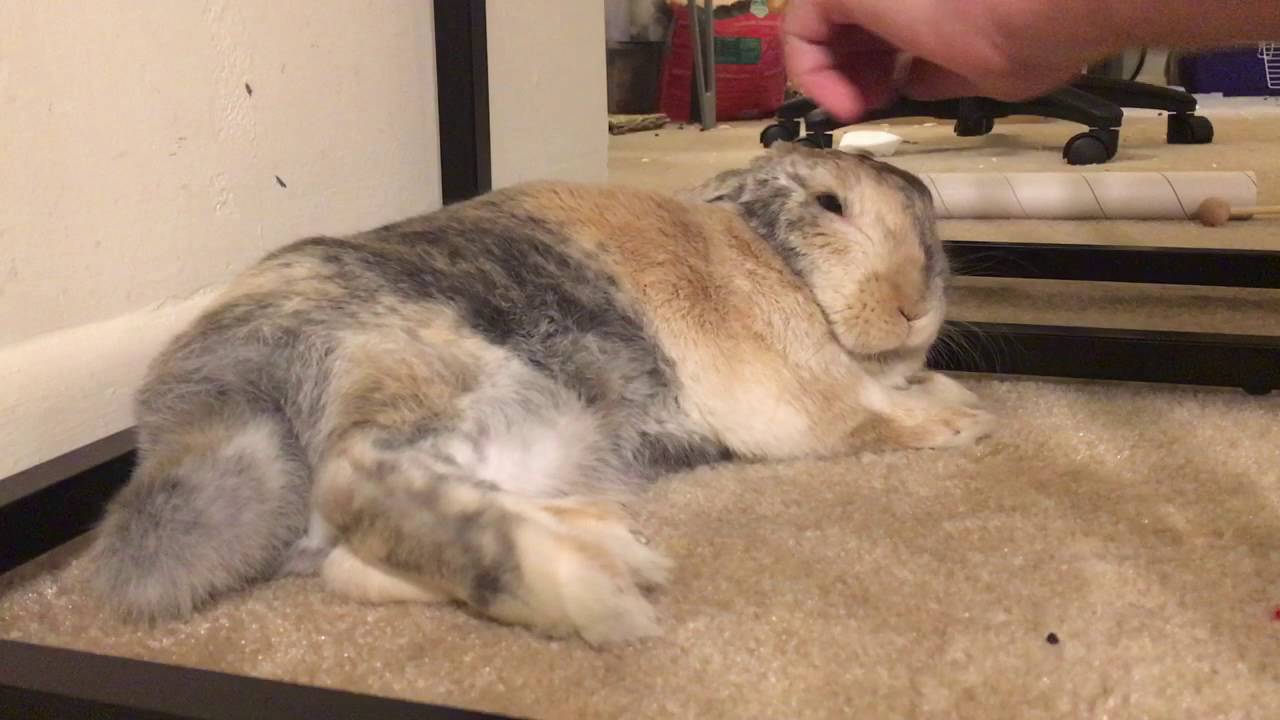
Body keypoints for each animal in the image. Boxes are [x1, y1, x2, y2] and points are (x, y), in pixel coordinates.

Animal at [86, 143, 991, 647]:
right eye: (829, 205)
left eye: (929, 214)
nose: (918, 303)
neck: (765, 252)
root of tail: (204, 400)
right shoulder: (796, 386)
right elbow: (861, 413)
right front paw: (964, 419)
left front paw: (948, 389)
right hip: (467, 382)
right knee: (360, 482)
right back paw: (591, 590)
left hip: (537, 433)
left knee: (345, 560)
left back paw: (611, 542)